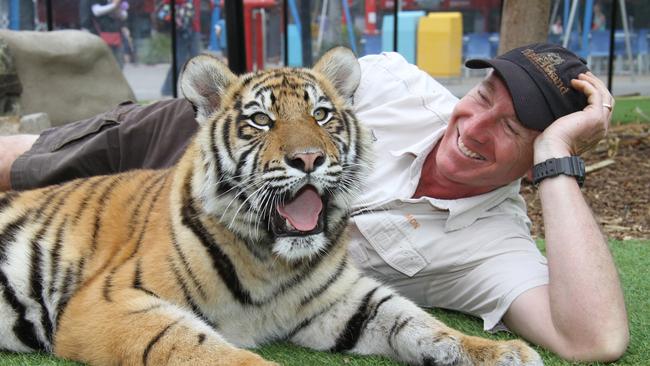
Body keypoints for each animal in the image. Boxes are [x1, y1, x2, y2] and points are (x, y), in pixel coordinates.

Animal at [0, 47, 540, 364]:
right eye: (260, 120)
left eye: (321, 114)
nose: (309, 159)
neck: (271, 262)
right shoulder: (107, 304)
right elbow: (198, 348)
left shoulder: (344, 304)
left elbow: (416, 322)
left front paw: (502, 351)